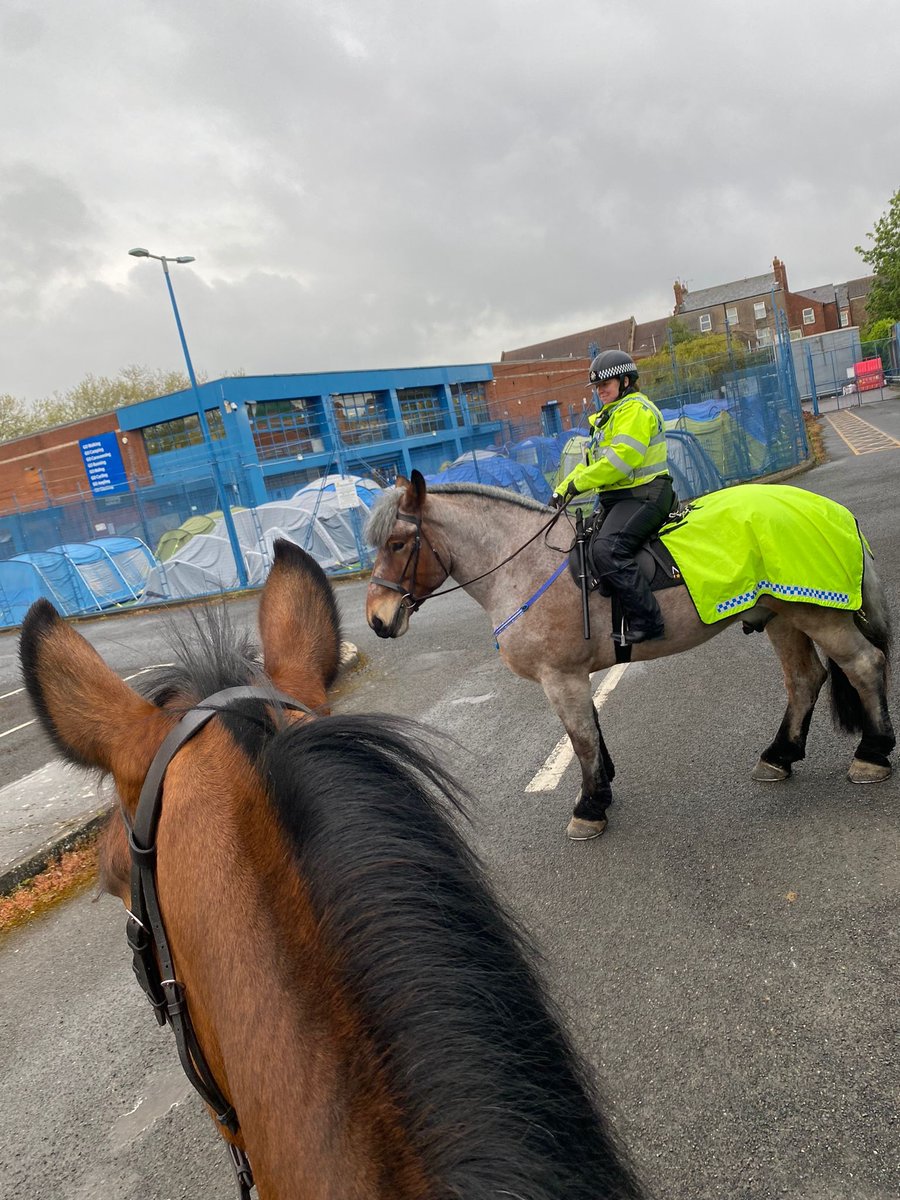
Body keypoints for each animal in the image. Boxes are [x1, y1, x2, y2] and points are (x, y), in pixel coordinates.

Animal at [364, 472, 897, 840]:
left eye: (397, 543)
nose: (377, 619)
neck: (524, 565)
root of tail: (834, 510)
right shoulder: (574, 676)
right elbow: (591, 731)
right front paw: (603, 789)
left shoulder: (561, 677)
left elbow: (580, 739)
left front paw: (590, 807)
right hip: (783, 616)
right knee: (804, 680)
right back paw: (779, 755)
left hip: (817, 615)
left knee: (863, 665)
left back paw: (872, 754)